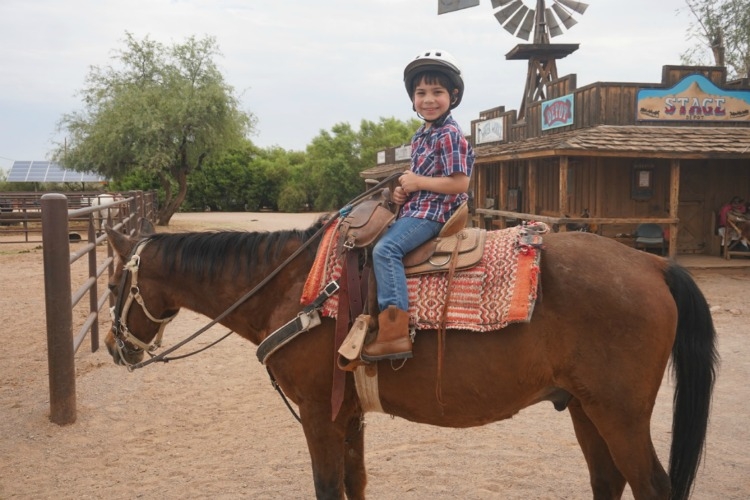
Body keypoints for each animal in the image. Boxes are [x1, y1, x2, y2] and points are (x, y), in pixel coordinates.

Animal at [103, 217, 717, 500]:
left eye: (111, 285)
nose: (113, 346)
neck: (298, 289)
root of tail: (653, 264)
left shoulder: (319, 415)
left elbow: (328, 486)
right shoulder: (347, 414)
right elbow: (355, 483)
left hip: (621, 415)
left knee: (652, 486)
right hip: (588, 410)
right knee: (608, 481)